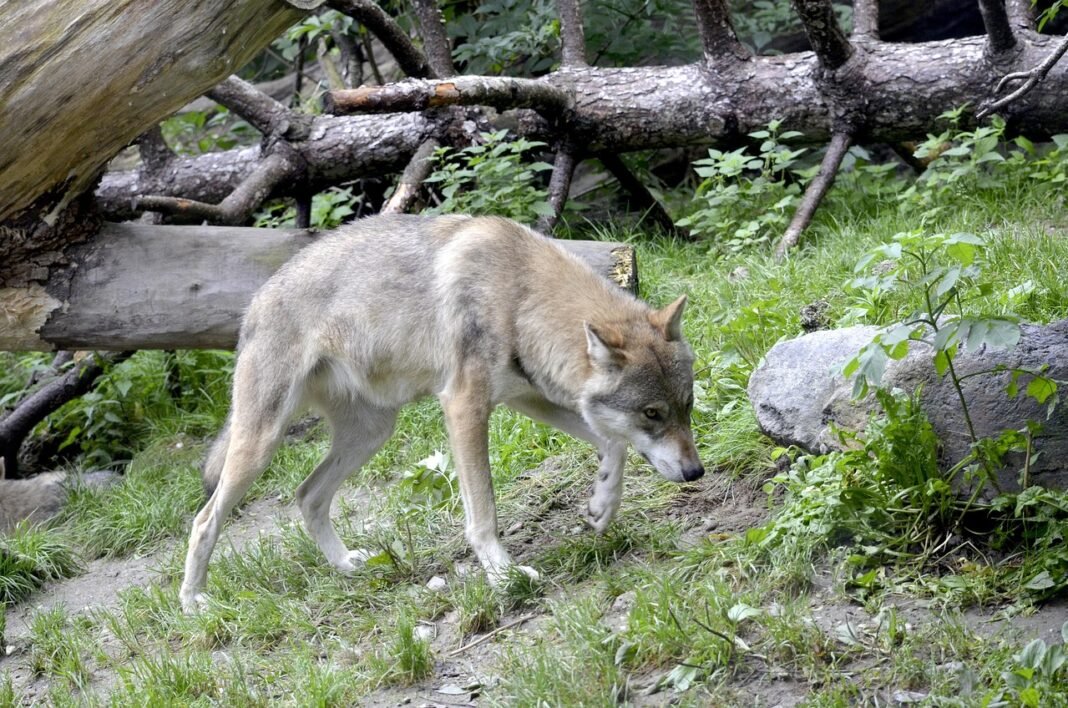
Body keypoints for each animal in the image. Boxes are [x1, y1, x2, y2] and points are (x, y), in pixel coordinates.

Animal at [180, 214, 703, 611]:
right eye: (652, 414)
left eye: (687, 406)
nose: (696, 473)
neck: (517, 292)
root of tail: (253, 304)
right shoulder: (465, 408)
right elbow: (483, 512)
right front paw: (505, 576)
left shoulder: (527, 398)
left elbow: (613, 444)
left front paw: (601, 506)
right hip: (260, 446)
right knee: (204, 520)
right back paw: (194, 603)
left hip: (372, 434)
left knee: (307, 496)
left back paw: (347, 566)